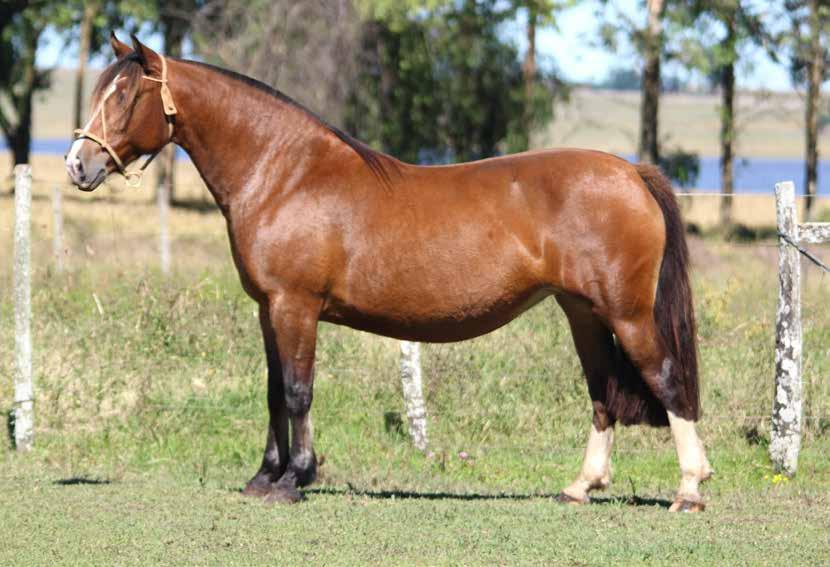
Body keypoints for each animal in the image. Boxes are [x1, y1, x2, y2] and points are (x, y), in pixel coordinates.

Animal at [65, 35, 716, 516]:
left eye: (125, 96)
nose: (78, 164)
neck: (286, 175)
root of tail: (629, 172)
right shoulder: (268, 308)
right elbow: (273, 389)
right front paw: (264, 476)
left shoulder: (295, 306)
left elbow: (298, 391)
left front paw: (294, 479)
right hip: (582, 312)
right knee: (603, 392)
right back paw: (581, 487)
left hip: (626, 314)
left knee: (666, 380)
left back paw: (689, 489)